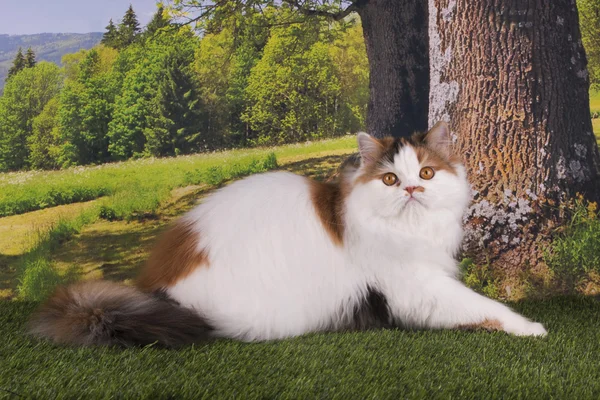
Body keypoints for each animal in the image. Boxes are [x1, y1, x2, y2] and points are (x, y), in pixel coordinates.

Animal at [28, 122, 548, 346]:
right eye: (389, 179)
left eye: (426, 172)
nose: (413, 189)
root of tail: (156, 288)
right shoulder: (417, 286)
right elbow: (484, 307)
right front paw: (532, 327)